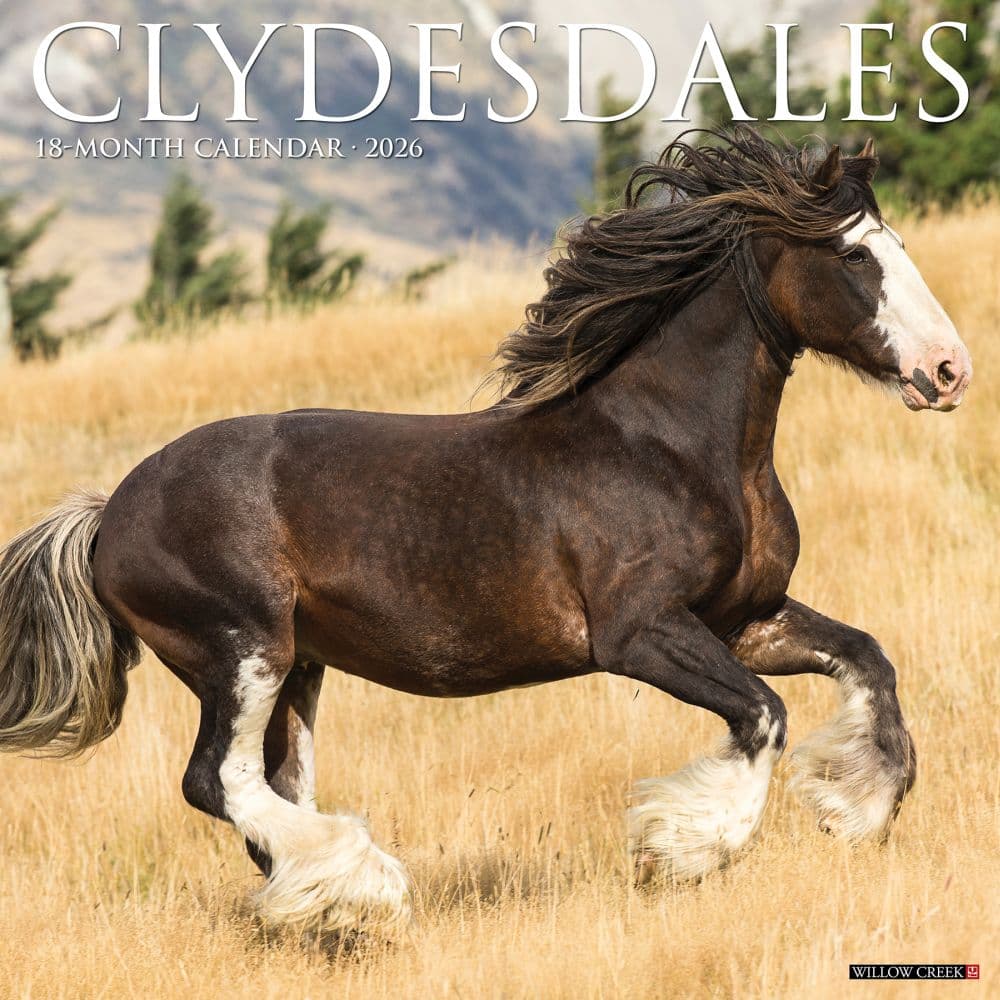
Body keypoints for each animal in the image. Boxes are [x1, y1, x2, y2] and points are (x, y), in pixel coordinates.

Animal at [0, 130, 972, 935]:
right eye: (853, 254)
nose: (949, 371)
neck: (673, 446)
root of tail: (106, 516)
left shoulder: (747, 619)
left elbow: (867, 659)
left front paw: (855, 811)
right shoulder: (640, 634)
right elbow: (763, 716)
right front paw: (684, 848)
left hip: (297, 666)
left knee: (273, 791)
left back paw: (335, 903)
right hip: (237, 650)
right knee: (218, 781)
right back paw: (368, 882)